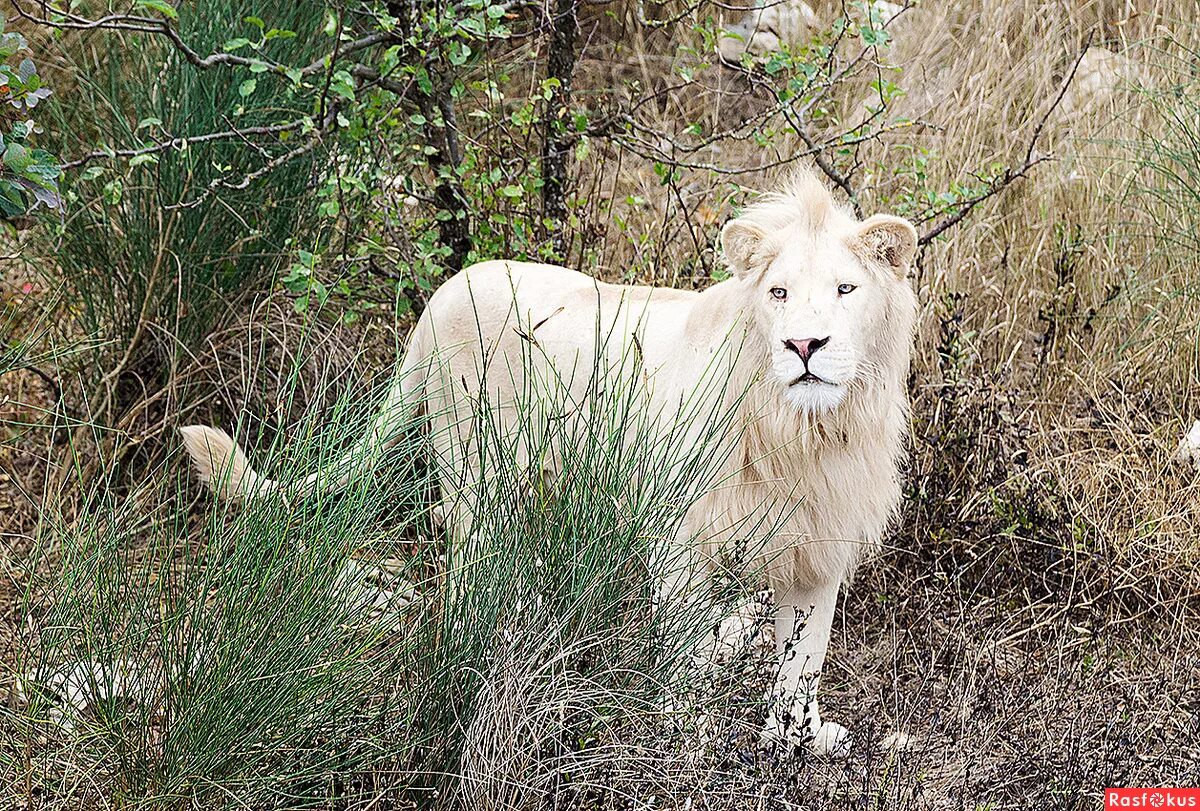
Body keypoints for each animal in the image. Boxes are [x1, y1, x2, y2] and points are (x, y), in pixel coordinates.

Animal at [177, 172, 912, 758]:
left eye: (846, 289)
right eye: (780, 294)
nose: (804, 344)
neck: (806, 432)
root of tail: (443, 291)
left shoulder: (819, 544)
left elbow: (804, 659)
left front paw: (799, 739)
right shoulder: (681, 541)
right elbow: (687, 655)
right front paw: (688, 739)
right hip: (475, 474)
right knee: (468, 574)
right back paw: (476, 663)